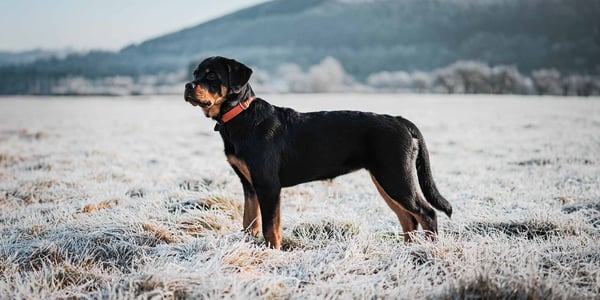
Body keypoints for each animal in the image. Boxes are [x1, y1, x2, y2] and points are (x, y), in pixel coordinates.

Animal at [183, 56, 450, 248]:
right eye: (195, 73)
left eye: (212, 75)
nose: (187, 85)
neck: (241, 116)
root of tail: (401, 120)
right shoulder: (249, 184)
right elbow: (250, 221)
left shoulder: (268, 184)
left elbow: (271, 228)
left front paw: (272, 253)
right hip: (386, 179)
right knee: (408, 218)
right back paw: (408, 251)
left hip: (396, 176)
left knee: (427, 213)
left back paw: (430, 251)